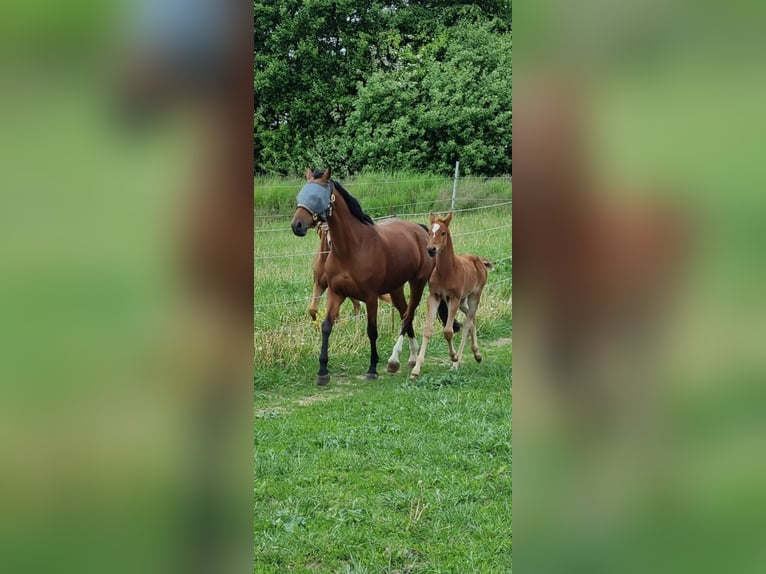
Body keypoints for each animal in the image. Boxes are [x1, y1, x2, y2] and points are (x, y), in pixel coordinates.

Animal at [291, 167, 457, 385]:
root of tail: (421, 230)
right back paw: (411, 357)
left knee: (408, 315)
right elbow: (326, 326)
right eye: (301, 194)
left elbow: (372, 330)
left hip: (417, 282)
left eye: (317, 196)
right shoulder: (335, 293)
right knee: (404, 312)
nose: (297, 225)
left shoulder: (370, 298)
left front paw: (372, 368)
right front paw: (323, 371)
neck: (351, 249)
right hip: (396, 288)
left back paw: (394, 360)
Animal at [410, 212, 493, 378]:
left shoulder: (453, 298)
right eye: (429, 232)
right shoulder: (434, 297)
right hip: (463, 301)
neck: (446, 271)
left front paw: (453, 356)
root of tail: (479, 260)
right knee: (471, 318)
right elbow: (428, 329)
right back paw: (477, 354)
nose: (431, 249)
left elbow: (448, 331)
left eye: (443, 233)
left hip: (474, 296)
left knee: (467, 324)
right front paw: (416, 369)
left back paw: (457, 362)